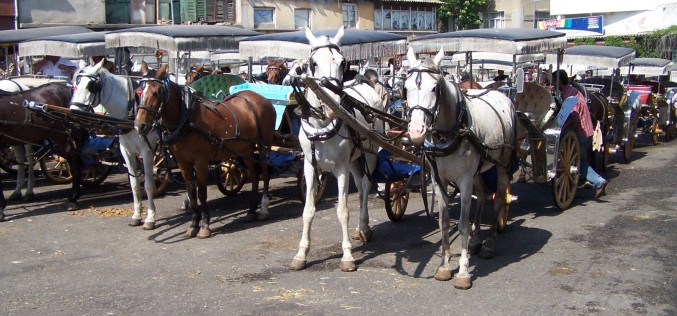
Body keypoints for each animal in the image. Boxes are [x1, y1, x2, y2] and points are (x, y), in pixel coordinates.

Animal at [69, 59, 160, 228]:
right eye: (74, 86)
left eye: (91, 86)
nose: (73, 114)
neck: (132, 110)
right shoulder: (126, 151)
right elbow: (134, 184)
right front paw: (137, 215)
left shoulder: (147, 151)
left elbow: (148, 184)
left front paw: (150, 218)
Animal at [134, 67, 274, 239]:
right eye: (139, 92)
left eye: (157, 92)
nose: (139, 125)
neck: (186, 119)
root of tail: (263, 99)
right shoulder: (183, 163)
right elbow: (191, 192)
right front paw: (193, 224)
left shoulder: (201, 162)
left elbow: (201, 193)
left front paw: (205, 226)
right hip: (245, 149)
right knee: (254, 175)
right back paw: (251, 211)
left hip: (264, 146)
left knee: (265, 172)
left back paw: (263, 209)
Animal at [288, 27, 382, 272]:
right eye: (313, 63)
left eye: (342, 62)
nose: (333, 105)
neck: (323, 123)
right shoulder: (309, 166)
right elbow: (308, 210)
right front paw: (301, 253)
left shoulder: (341, 168)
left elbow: (342, 211)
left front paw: (347, 256)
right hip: (354, 160)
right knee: (360, 185)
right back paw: (361, 228)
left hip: (369, 154)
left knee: (366, 185)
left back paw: (364, 227)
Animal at [404, 47, 516, 288]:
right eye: (405, 87)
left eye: (435, 88)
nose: (416, 131)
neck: (449, 131)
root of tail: (502, 95)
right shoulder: (439, 179)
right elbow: (444, 222)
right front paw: (445, 266)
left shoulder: (464, 181)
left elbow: (463, 223)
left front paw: (463, 272)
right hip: (478, 170)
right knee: (482, 194)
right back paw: (475, 241)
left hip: (503, 165)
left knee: (499, 199)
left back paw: (489, 244)